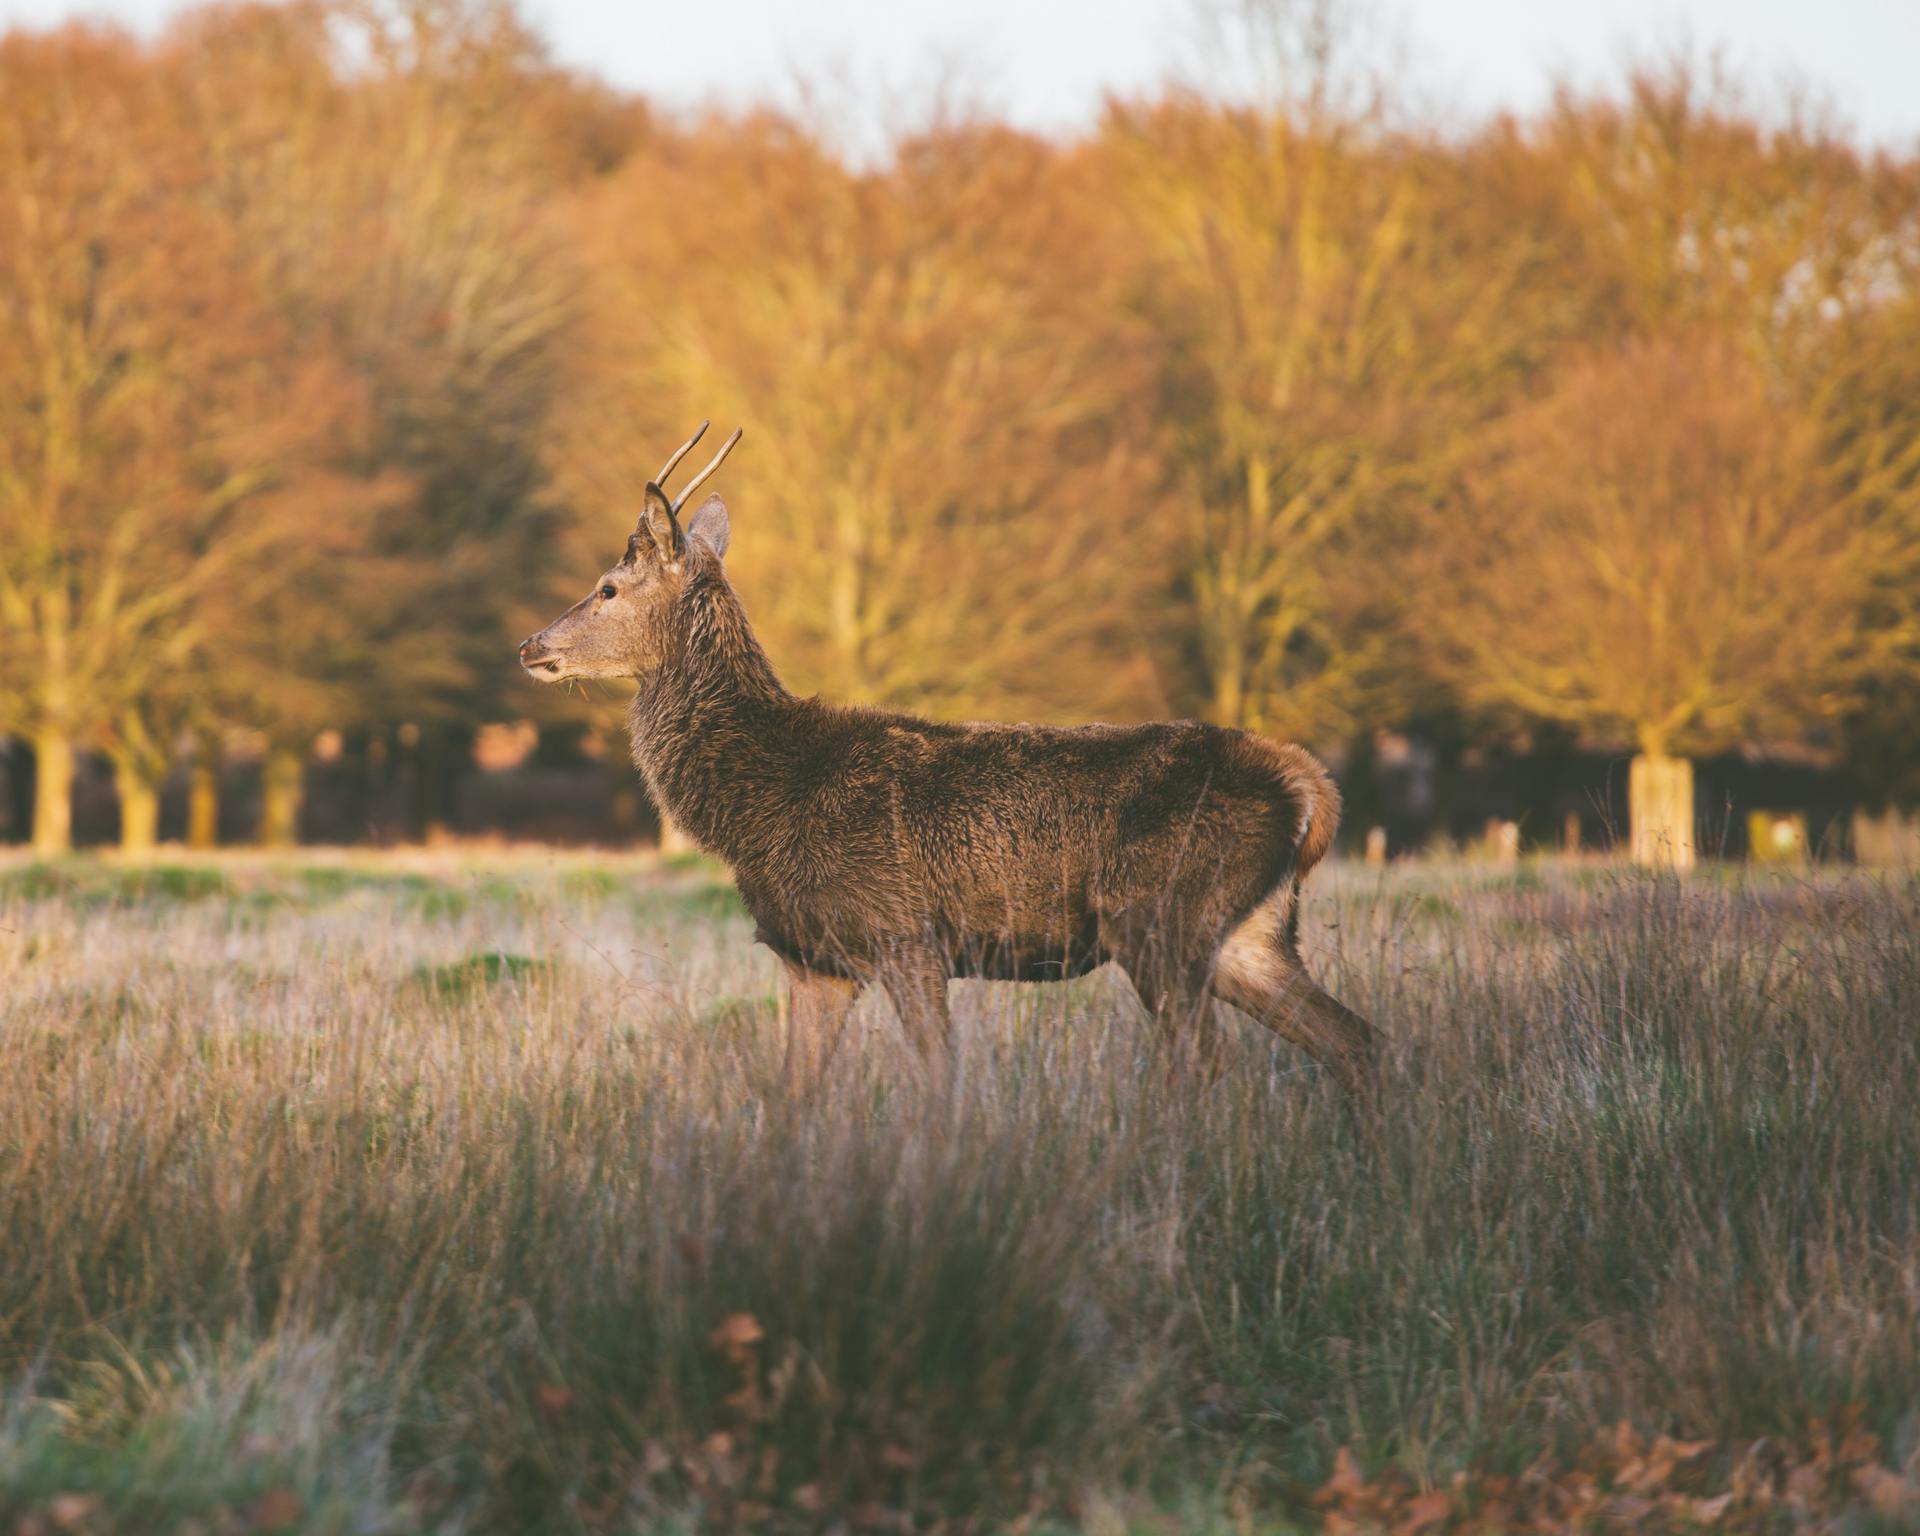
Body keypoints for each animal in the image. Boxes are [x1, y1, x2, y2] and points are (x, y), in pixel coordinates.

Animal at [518, 426, 1374, 1098]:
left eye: (608, 587)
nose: (530, 645)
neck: (761, 799)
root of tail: (1309, 787)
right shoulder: (814, 961)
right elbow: (790, 1100)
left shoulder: (907, 935)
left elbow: (938, 1086)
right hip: (1249, 933)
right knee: (1358, 1042)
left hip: (1160, 914)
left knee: (1206, 1062)